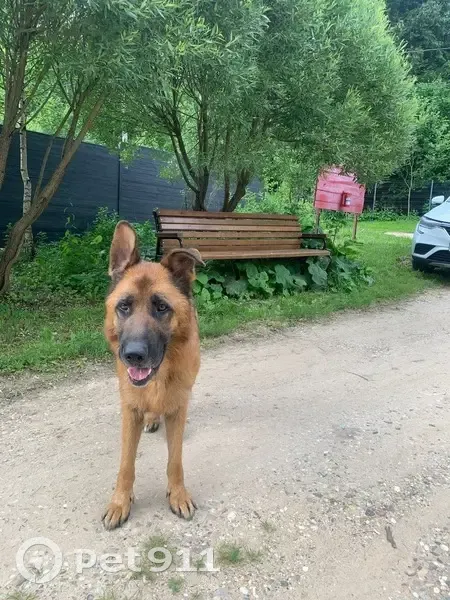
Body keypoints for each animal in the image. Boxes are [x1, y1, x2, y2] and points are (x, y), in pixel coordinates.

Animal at [102, 221, 203, 530]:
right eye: (124, 306)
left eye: (161, 307)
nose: (133, 355)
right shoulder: (130, 409)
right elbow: (126, 464)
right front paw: (120, 502)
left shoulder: (178, 404)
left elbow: (175, 460)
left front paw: (178, 494)